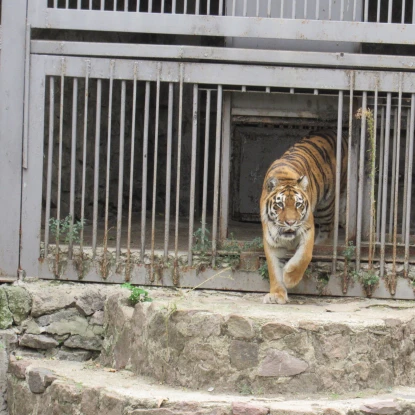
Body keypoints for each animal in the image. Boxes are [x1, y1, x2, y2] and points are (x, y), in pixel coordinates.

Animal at [262, 130, 350, 306]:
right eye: (280, 205)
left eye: (298, 204)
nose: (290, 222)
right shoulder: (271, 242)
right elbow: (273, 269)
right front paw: (277, 294)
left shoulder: (307, 230)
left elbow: (303, 257)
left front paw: (289, 278)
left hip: (326, 205)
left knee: (328, 230)